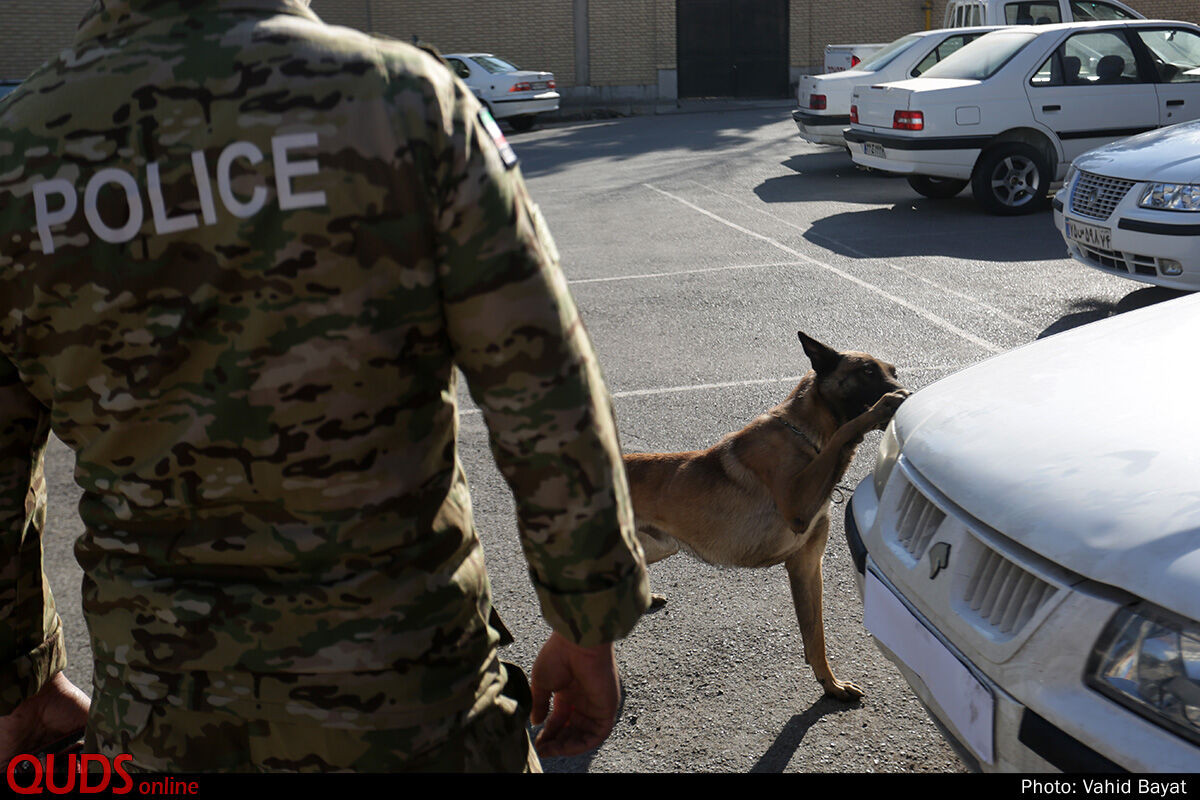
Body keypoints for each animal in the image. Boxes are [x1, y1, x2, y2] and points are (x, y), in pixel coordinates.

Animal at [624, 331, 902, 700]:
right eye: (868, 371)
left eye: (894, 371)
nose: (908, 391)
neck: (804, 434)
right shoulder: (798, 506)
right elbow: (846, 433)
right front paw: (881, 406)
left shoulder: (807, 563)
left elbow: (815, 636)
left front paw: (830, 685)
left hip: (659, 546)